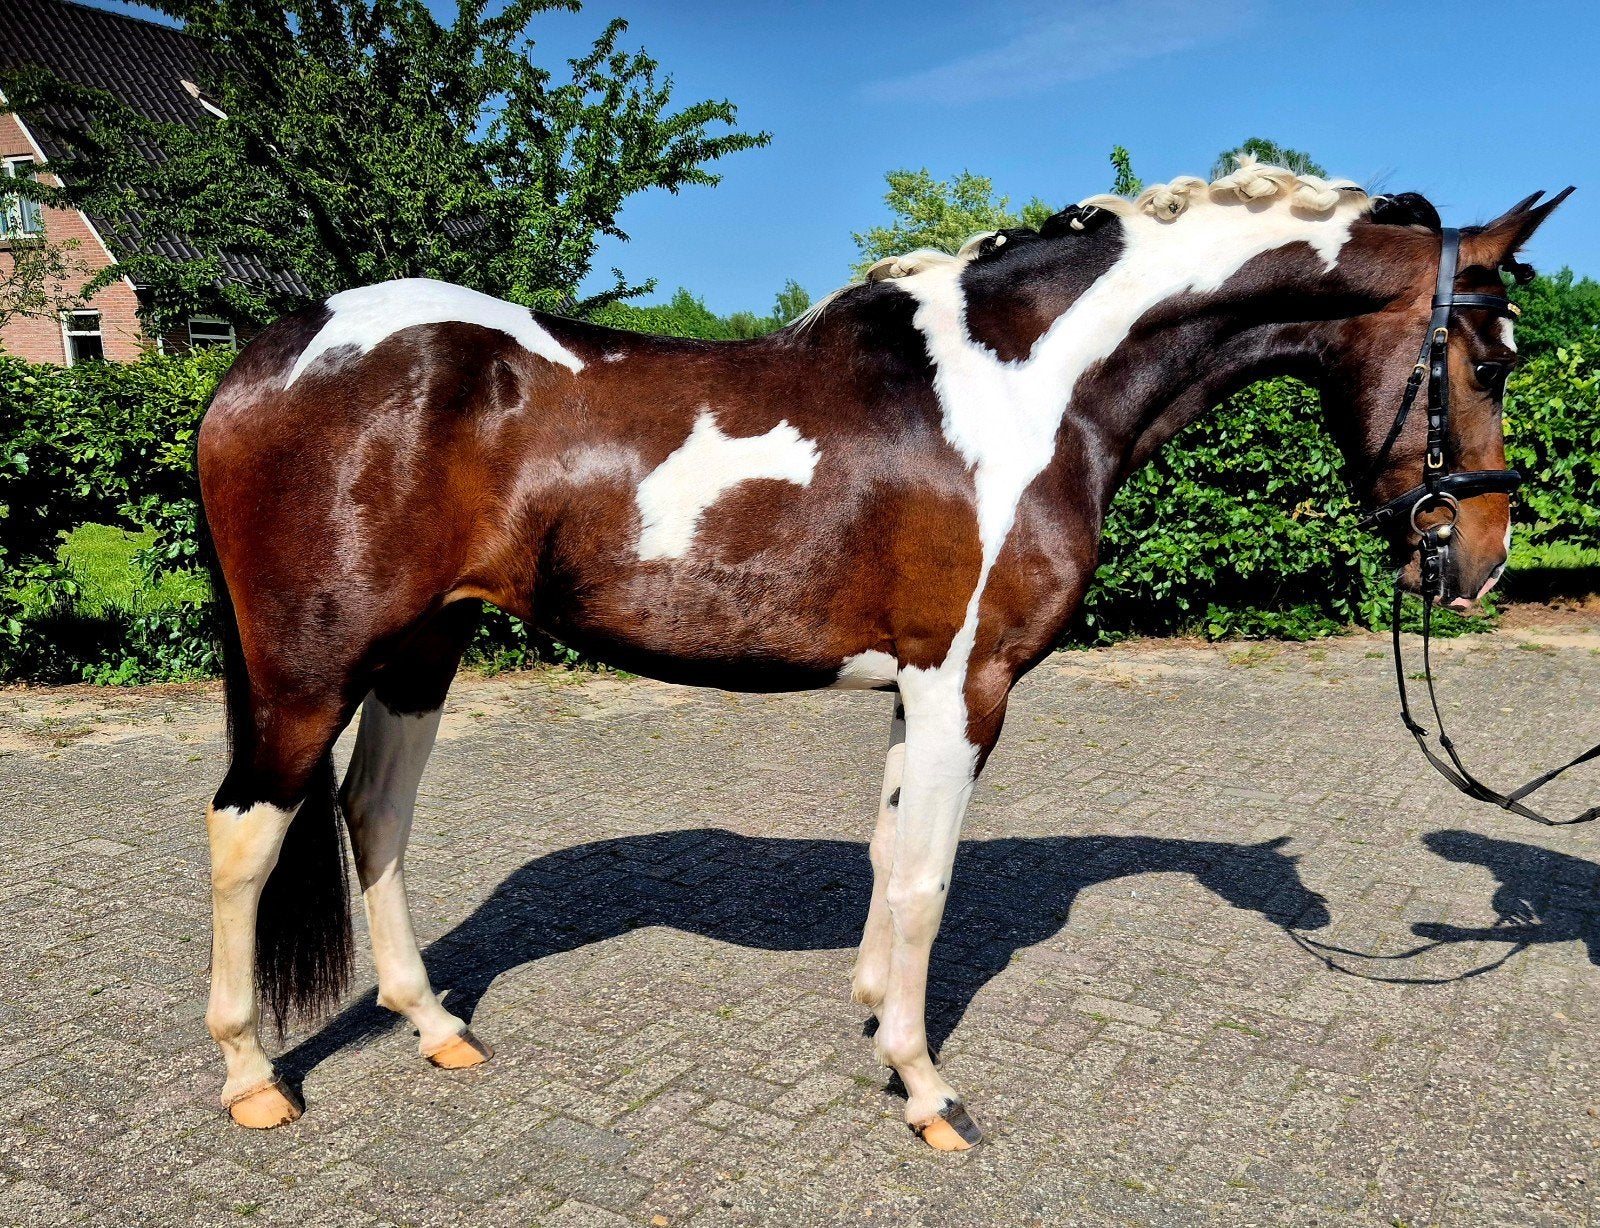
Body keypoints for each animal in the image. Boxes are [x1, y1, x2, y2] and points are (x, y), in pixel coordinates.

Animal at [195, 157, 1566, 1149]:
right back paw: (253, 1078)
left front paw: (873, 1024)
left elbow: (886, 853)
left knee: (373, 815)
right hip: (311, 668)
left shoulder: (915, 687)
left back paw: (434, 1025)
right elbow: (926, 881)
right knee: (248, 830)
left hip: (422, 647)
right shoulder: (967, 684)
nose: (1481, 558)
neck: (1028, 391)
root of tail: (270, 353)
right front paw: (927, 1090)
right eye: (1484, 361)